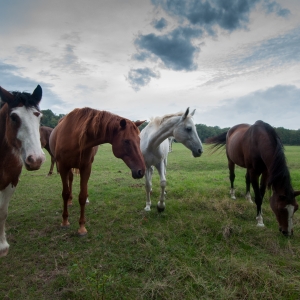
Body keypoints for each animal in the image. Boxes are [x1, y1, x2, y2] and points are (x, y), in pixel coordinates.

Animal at [0, 85, 45, 258]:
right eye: (13, 117)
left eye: (39, 117)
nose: (36, 159)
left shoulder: (11, 183)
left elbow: (2, 212)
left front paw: (2, 246)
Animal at [49, 106, 146, 236]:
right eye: (126, 141)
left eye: (139, 140)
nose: (141, 171)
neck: (75, 138)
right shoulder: (63, 167)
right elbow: (64, 194)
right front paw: (65, 221)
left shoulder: (86, 168)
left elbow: (82, 196)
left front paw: (82, 227)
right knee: (70, 180)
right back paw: (69, 201)